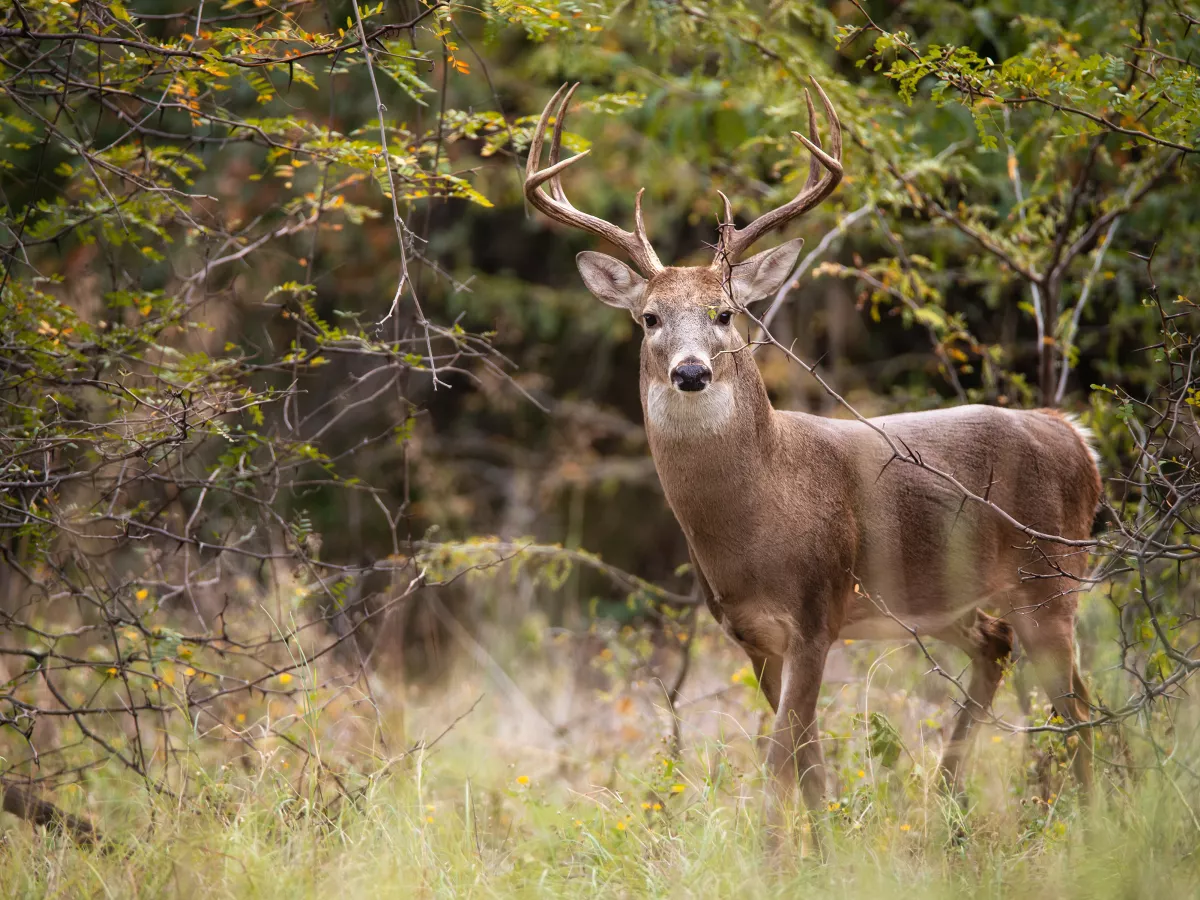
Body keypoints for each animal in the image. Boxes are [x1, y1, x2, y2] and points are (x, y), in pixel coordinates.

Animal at [520, 81, 1099, 849]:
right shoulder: (751, 632)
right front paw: (825, 850)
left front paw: (773, 856)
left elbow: (779, 759)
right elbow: (807, 757)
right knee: (1007, 654)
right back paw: (949, 805)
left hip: (1051, 578)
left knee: (1080, 709)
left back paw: (1095, 821)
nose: (691, 371)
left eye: (725, 312)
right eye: (649, 318)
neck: (761, 512)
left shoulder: (818, 608)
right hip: (947, 598)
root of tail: (1075, 438)